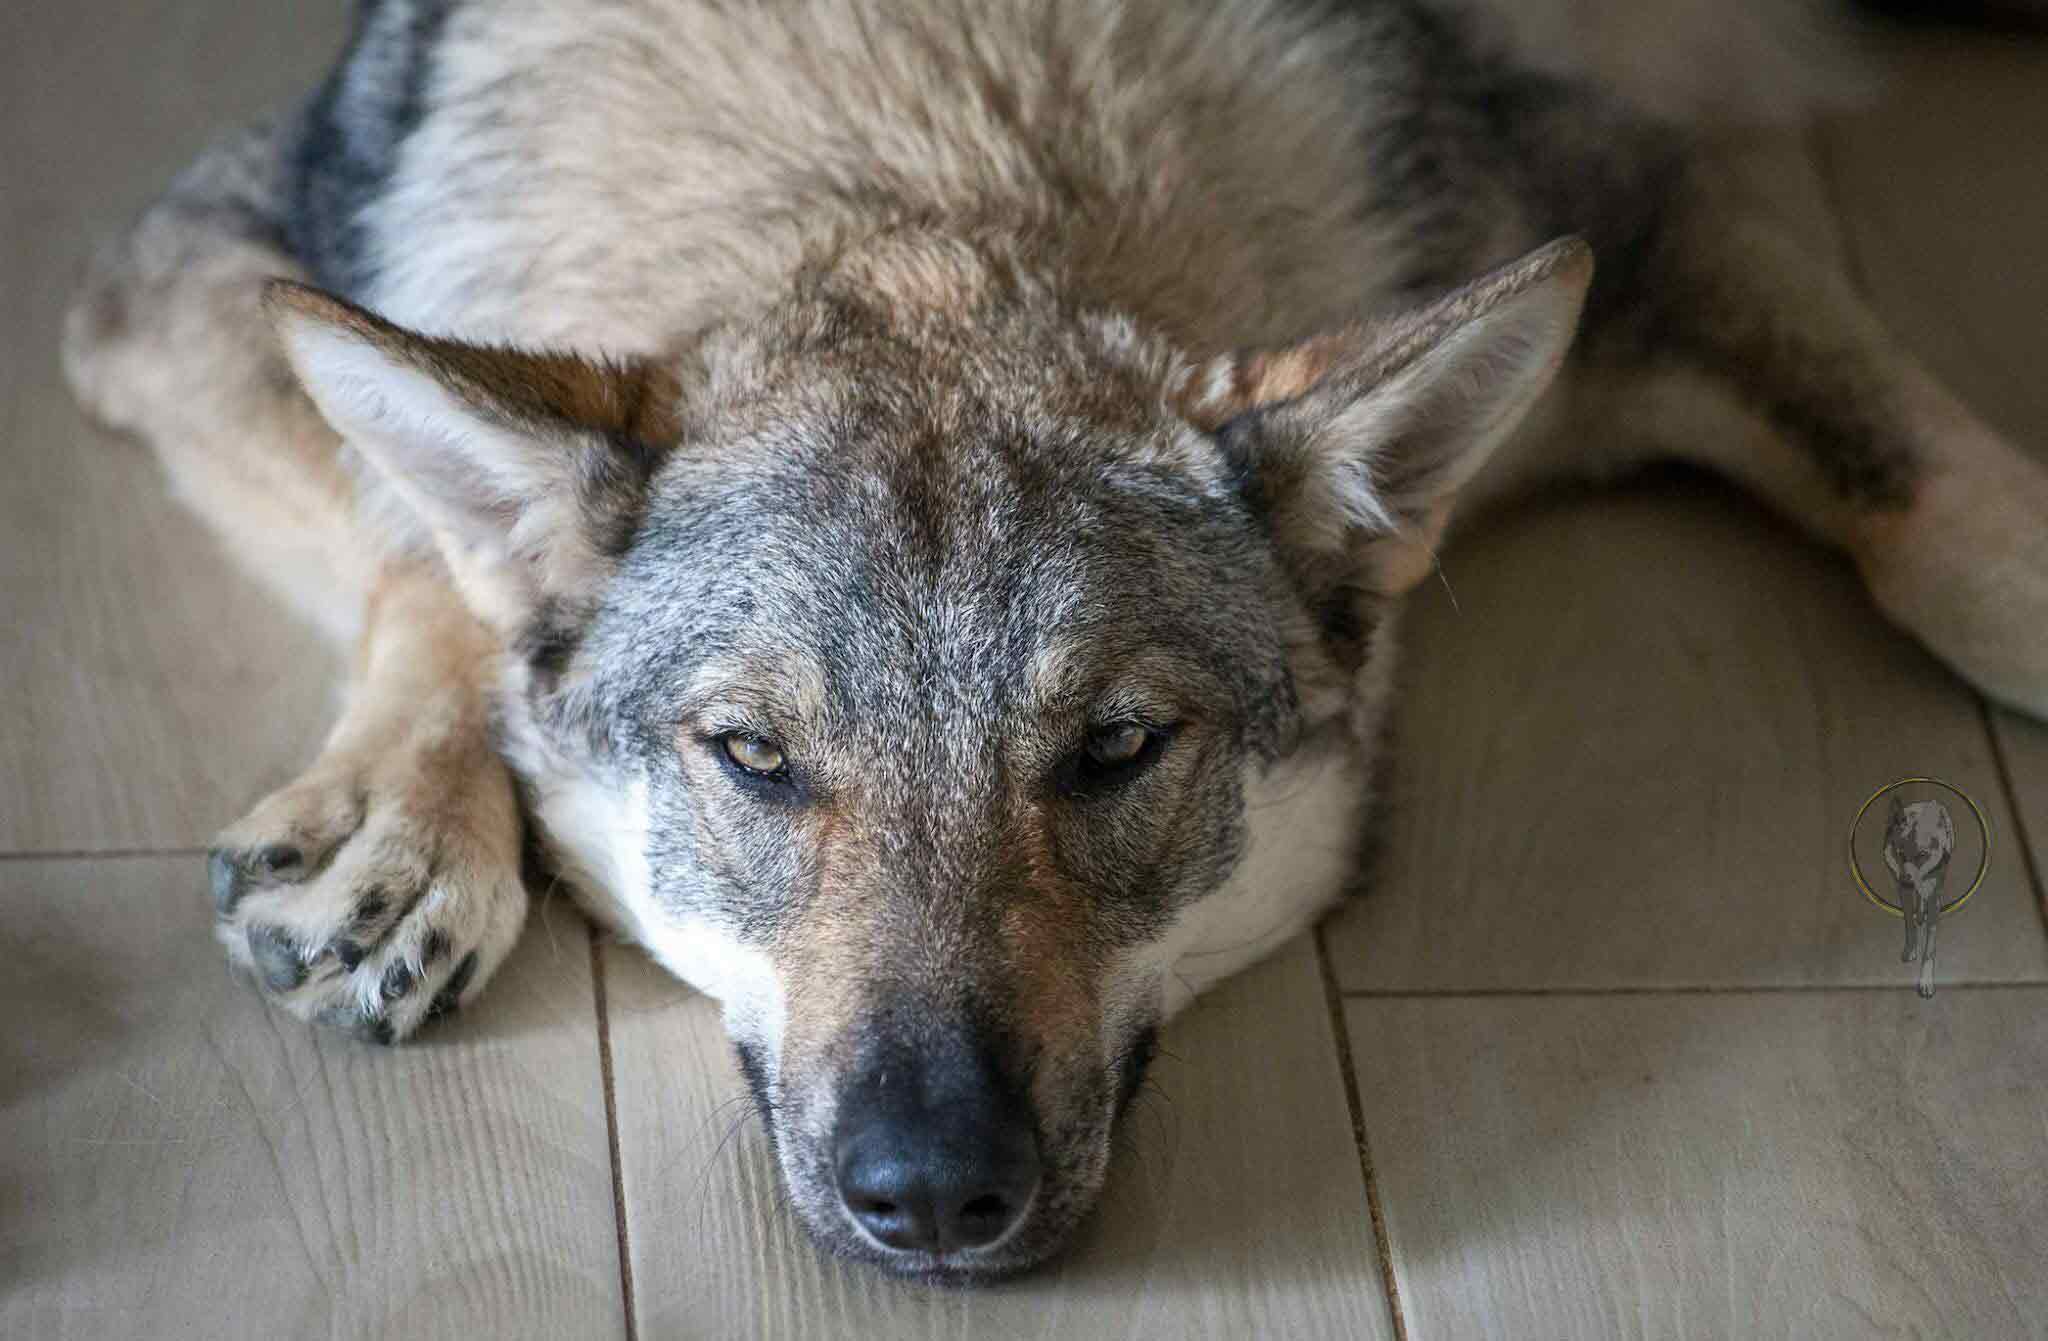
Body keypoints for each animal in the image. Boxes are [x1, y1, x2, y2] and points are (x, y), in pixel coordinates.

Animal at [61, 0, 2048, 1282]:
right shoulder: (171, 282)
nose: (936, 1193)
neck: (912, 120)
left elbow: (1928, 509)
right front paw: (406, 819)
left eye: (1113, 751)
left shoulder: (1635, 202)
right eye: (754, 758)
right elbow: (424, 559)